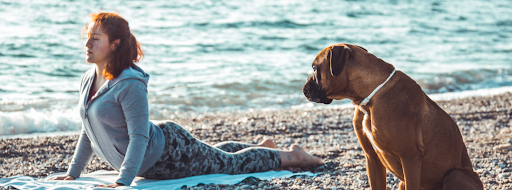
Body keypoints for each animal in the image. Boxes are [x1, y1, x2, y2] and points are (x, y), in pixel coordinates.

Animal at [302, 43, 482, 189]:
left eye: (315, 69)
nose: (304, 87)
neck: (369, 99)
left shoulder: (410, 158)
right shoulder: (372, 158)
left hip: (455, 175)